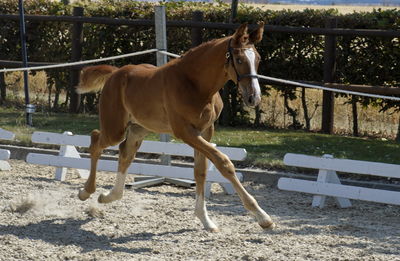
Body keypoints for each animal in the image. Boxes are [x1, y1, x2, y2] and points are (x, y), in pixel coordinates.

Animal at [75, 22, 276, 230]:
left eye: (258, 58)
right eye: (238, 58)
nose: (254, 98)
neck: (196, 84)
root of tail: (115, 73)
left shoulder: (206, 130)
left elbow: (200, 171)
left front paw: (205, 220)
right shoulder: (185, 132)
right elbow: (223, 163)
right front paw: (262, 217)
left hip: (139, 128)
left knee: (125, 152)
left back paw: (108, 196)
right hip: (115, 128)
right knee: (96, 140)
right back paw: (86, 191)